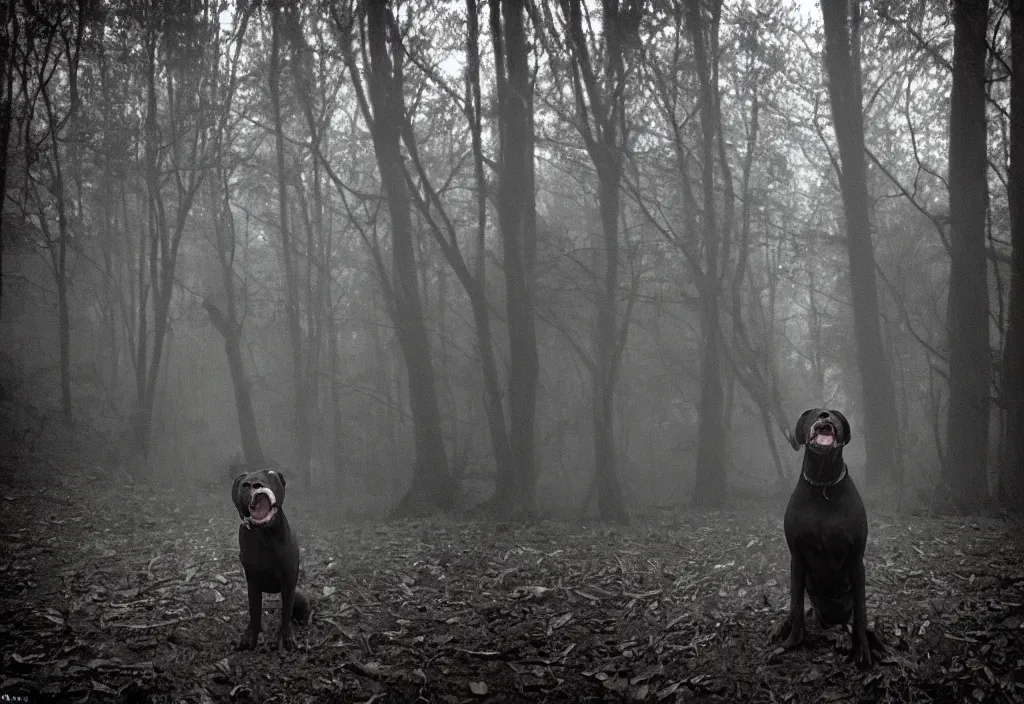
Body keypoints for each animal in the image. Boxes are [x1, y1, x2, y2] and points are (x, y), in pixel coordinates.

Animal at [231, 466, 307, 650]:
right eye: (242, 480)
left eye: (271, 475)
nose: (253, 485)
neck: (264, 537)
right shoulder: (252, 583)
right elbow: (255, 612)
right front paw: (250, 637)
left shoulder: (288, 583)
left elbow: (286, 614)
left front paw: (285, 638)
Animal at [774, 407, 880, 667]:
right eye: (809, 413)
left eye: (836, 413)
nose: (824, 415)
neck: (823, 483)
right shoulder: (797, 557)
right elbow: (796, 604)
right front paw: (792, 642)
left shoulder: (856, 559)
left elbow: (861, 614)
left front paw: (862, 650)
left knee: (852, 623)